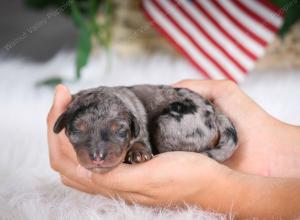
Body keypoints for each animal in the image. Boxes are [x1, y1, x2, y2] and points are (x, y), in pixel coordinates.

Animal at [53, 85, 237, 173]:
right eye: (77, 130)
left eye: (119, 130)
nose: (97, 157)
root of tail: (216, 114)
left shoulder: (141, 130)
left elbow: (141, 142)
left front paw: (138, 154)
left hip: (168, 124)